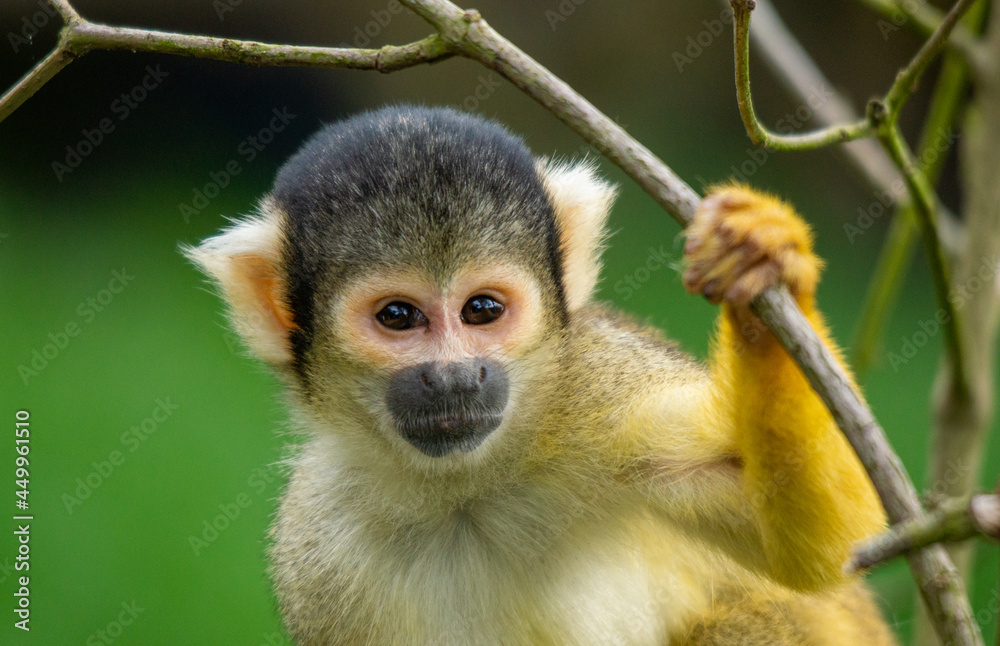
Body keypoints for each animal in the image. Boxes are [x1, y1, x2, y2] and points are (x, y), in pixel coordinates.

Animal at [185, 105, 897, 645]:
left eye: (482, 310)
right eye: (397, 316)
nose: (453, 378)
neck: (467, 492)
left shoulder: (604, 394)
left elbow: (825, 547)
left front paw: (762, 268)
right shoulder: (320, 551)